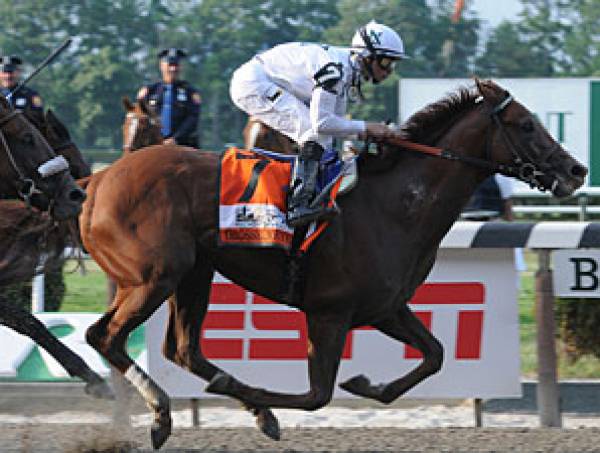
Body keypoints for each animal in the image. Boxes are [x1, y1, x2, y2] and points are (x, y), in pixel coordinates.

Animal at [78, 79, 584, 446]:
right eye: (525, 125)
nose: (575, 170)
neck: (395, 204)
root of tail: (97, 181)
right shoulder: (330, 312)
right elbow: (317, 396)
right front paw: (264, 406)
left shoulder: (384, 308)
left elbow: (435, 355)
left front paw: (365, 385)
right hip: (155, 276)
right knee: (104, 335)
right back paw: (164, 413)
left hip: (194, 273)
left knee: (182, 349)